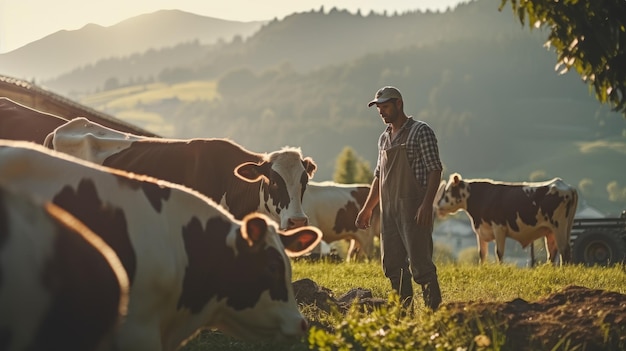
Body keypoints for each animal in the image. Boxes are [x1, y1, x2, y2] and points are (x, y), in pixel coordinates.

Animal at [434, 172, 576, 266]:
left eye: (448, 191)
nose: (438, 206)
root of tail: (567, 186)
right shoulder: (481, 230)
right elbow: (482, 253)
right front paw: (482, 269)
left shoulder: (499, 227)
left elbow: (499, 252)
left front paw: (500, 268)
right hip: (555, 229)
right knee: (553, 252)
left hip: (559, 226)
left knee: (564, 249)